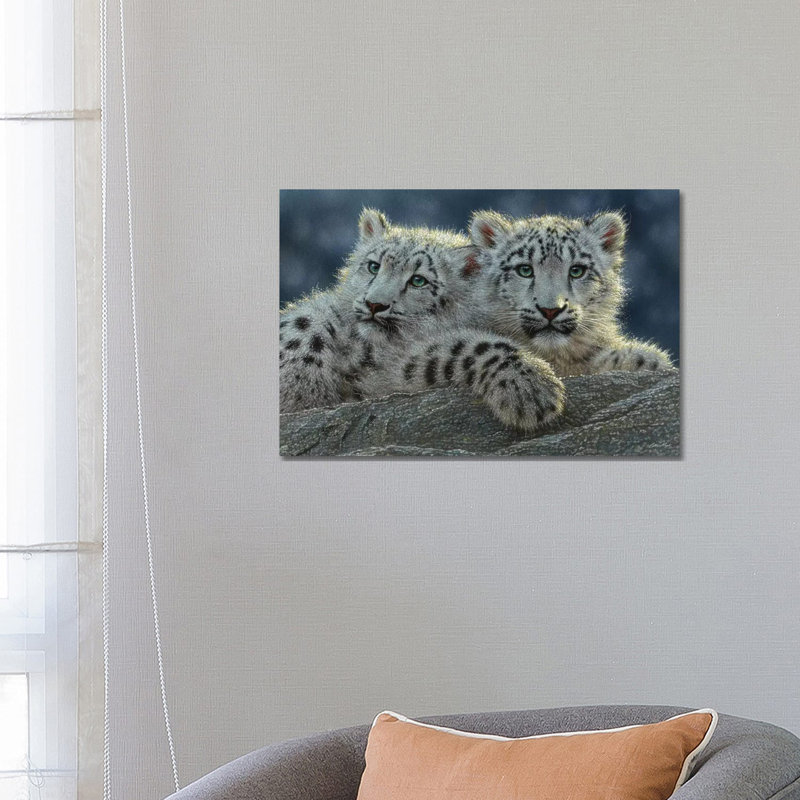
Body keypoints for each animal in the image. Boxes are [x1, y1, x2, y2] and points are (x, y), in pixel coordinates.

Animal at [279, 208, 565, 431]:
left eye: (419, 280)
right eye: (373, 266)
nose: (374, 304)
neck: (368, 351)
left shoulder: (394, 371)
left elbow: (466, 345)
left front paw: (532, 387)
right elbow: (304, 321)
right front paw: (299, 389)